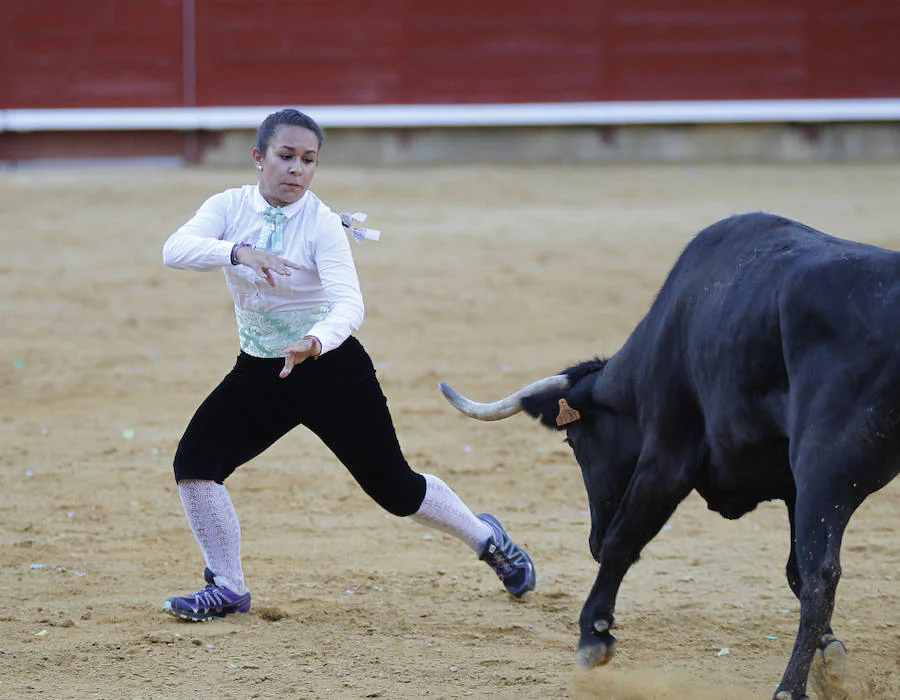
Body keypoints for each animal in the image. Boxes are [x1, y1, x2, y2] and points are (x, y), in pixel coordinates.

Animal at [440, 212, 896, 700]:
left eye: (575, 441)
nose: (591, 542)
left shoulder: (668, 458)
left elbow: (624, 540)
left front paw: (594, 634)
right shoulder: (790, 487)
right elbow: (792, 568)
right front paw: (831, 658)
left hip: (824, 473)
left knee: (821, 577)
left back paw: (787, 688)